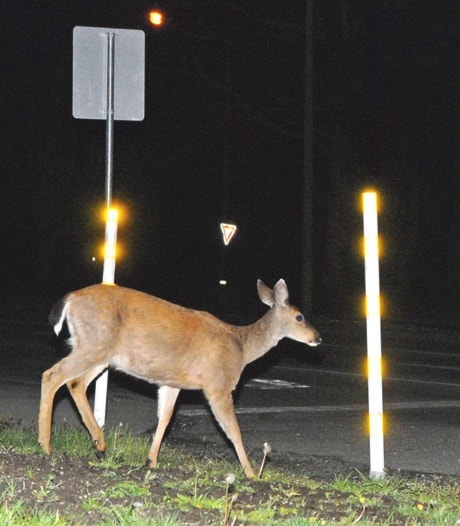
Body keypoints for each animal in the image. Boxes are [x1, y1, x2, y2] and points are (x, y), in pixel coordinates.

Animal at [38, 280, 320, 478]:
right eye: (300, 317)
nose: (317, 337)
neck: (241, 348)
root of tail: (71, 298)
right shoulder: (218, 385)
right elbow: (233, 431)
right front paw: (252, 473)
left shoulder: (171, 383)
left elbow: (164, 419)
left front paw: (151, 460)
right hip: (95, 345)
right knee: (53, 375)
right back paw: (46, 446)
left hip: (99, 352)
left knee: (75, 383)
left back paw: (99, 444)